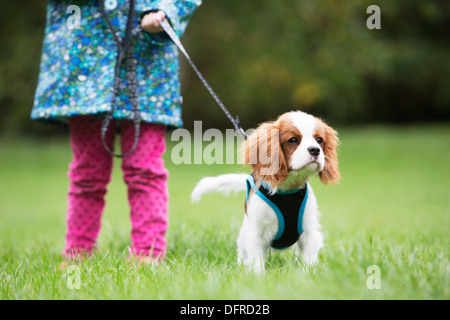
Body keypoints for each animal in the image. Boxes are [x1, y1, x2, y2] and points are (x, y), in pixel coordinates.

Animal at [192, 110, 340, 272]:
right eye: (293, 140)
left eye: (319, 140)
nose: (315, 150)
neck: (288, 190)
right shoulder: (256, 234)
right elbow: (257, 262)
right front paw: (258, 276)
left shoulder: (310, 233)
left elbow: (308, 261)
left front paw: (307, 274)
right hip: (244, 235)